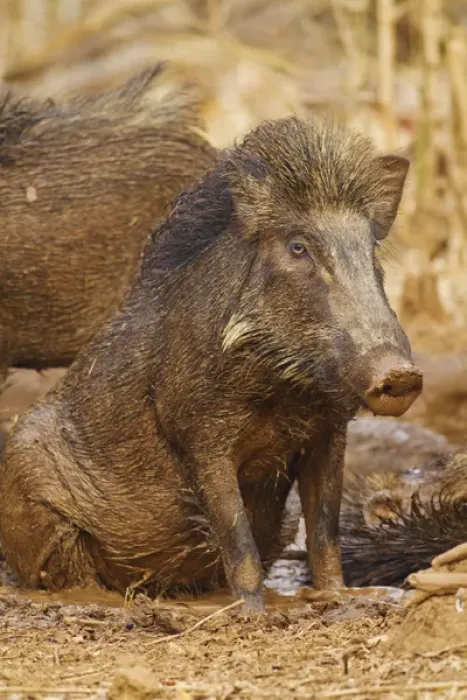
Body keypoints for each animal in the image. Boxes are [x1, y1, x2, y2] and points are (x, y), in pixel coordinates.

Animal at [0, 116, 422, 612]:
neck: (286, 392)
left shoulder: (328, 433)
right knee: (69, 578)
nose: (400, 375)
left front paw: (348, 597)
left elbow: (324, 531)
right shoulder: (200, 438)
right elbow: (236, 534)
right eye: (298, 247)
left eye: (370, 248)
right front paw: (253, 613)